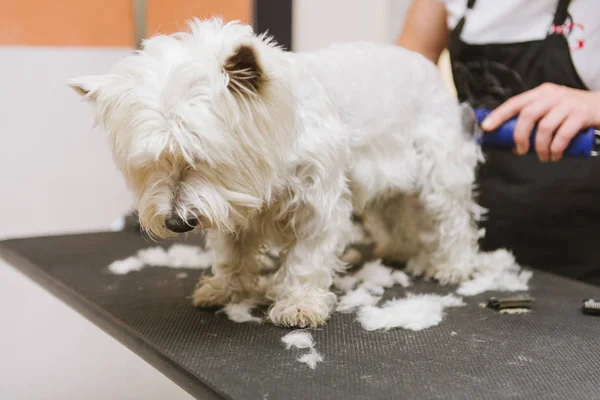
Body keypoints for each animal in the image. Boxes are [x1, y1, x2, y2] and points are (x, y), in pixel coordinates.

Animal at [70, 17, 490, 326]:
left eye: (201, 157)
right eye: (150, 164)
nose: (176, 222)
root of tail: (428, 68)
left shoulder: (318, 204)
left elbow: (305, 258)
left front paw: (299, 304)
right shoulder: (233, 208)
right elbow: (233, 251)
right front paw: (226, 289)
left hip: (440, 168)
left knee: (452, 218)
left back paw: (451, 265)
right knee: (394, 212)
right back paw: (399, 250)